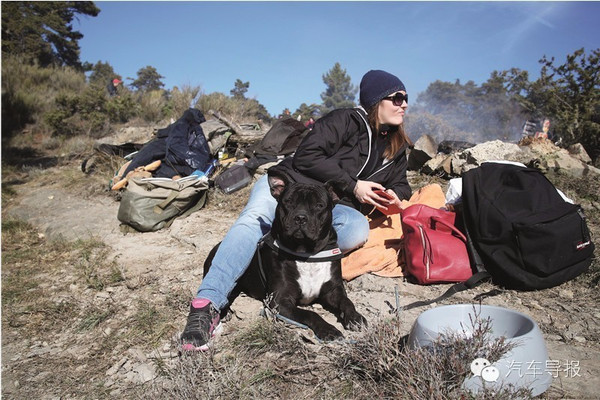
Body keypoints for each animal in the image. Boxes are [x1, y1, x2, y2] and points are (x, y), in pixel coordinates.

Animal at [205, 173, 366, 340]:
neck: (306, 252)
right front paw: (328, 330)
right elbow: (310, 314)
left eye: (319, 205)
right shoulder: (280, 301)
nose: (300, 217)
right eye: (288, 202)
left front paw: (355, 317)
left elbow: (347, 301)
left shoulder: (333, 291)